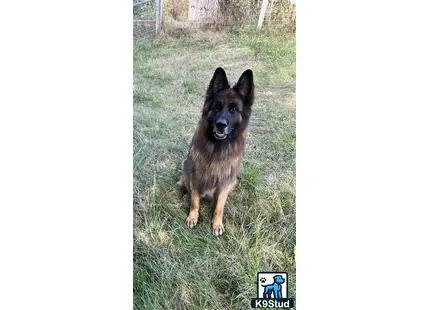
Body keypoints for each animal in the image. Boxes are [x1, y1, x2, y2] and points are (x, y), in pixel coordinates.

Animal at [179, 68, 255, 236]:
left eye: (233, 109)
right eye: (217, 107)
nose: (221, 125)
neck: (217, 148)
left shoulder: (225, 181)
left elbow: (219, 206)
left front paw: (217, 224)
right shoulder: (196, 175)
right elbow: (195, 200)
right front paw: (193, 217)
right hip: (186, 169)